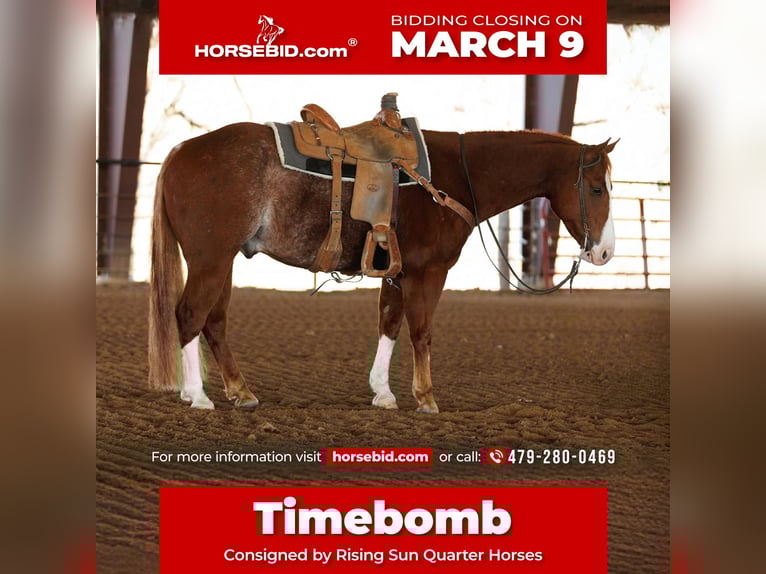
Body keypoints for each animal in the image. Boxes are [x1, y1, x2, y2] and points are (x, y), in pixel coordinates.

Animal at [148, 122, 617, 413]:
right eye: (596, 188)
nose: (605, 253)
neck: (454, 177)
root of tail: (181, 150)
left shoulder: (396, 272)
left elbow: (389, 324)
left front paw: (384, 393)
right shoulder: (428, 272)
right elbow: (421, 330)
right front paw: (425, 398)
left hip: (223, 260)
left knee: (215, 322)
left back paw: (240, 391)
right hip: (210, 259)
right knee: (190, 315)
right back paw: (198, 396)